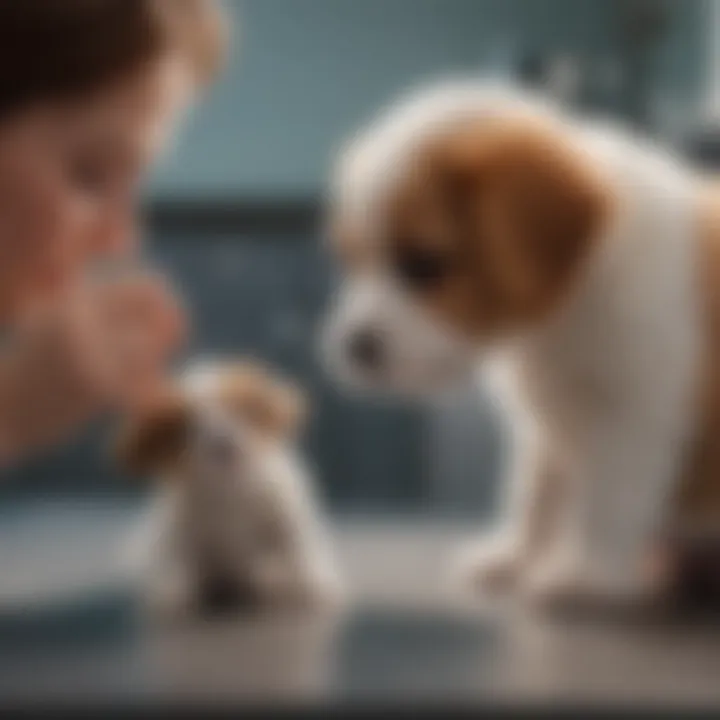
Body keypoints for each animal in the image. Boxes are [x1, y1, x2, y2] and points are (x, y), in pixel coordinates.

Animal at [116, 360, 346, 620]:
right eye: (188, 428)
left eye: (237, 410)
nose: (222, 444)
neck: (230, 486)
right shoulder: (180, 533)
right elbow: (177, 560)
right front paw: (172, 598)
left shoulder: (285, 520)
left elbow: (299, 550)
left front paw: (316, 588)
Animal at [324, 79, 720, 612]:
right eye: (351, 260)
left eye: (425, 264)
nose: (355, 347)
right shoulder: (545, 430)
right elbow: (534, 497)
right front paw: (515, 556)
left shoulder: (631, 416)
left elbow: (608, 501)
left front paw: (585, 573)